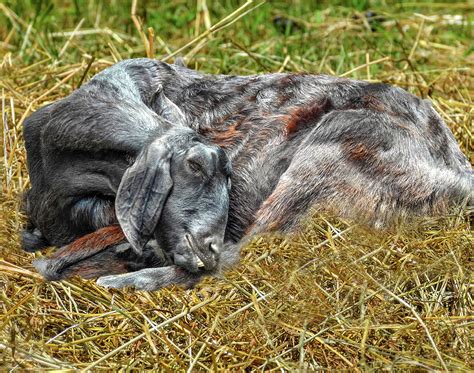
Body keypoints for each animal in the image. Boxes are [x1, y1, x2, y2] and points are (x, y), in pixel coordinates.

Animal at [23, 58, 474, 290]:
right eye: (194, 165)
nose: (208, 244)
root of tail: (458, 177)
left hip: (328, 152)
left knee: (245, 257)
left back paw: (126, 280)